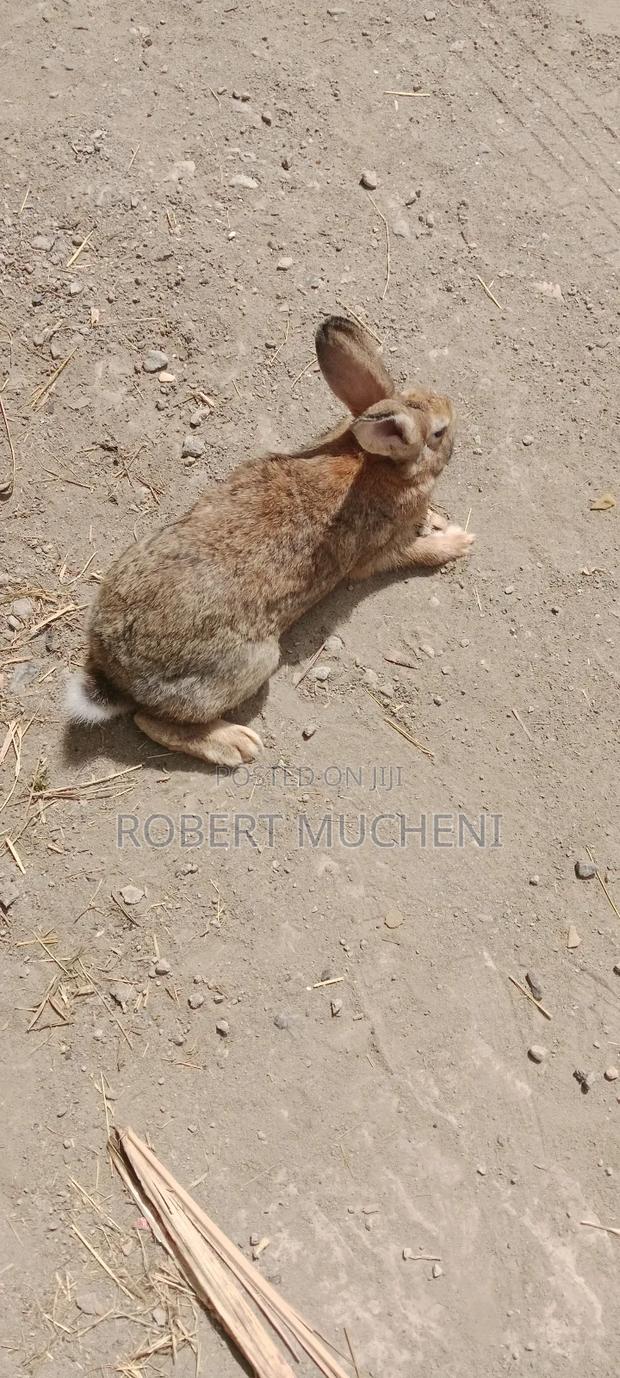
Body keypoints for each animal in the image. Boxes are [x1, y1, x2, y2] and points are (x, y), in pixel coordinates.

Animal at [66, 315, 474, 765]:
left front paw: (439, 520)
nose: (453, 408)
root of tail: (117, 673)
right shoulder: (378, 553)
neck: (379, 463)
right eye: (439, 432)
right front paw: (459, 541)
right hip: (253, 663)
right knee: (151, 722)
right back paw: (235, 743)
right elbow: (412, 552)